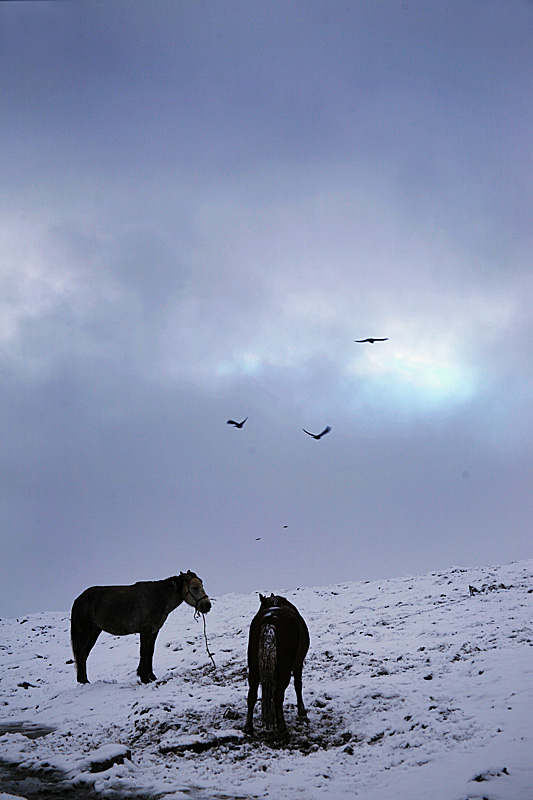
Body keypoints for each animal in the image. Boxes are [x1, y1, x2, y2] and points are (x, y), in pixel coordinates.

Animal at [70, 572, 210, 684]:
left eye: (202, 585)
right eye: (195, 587)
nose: (207, 606)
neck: (157, 598)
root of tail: (78, 600)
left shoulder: (154, 631)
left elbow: (150, 652)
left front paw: (151, 676)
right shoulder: (145, 631)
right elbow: (144, 652)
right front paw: (144, 678)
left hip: (94, 632)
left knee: (84, 654)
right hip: (85, 633)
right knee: (81, 653)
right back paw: (83, 680)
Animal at [244, 592, 310, 736]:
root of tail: (269, 622)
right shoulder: (298, 664)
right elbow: (298, 685)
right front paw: (302, 712)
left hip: (253, 668)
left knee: (252, 695)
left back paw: (248, 727)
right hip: (285, 670)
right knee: (278, 696)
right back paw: (282, 727)